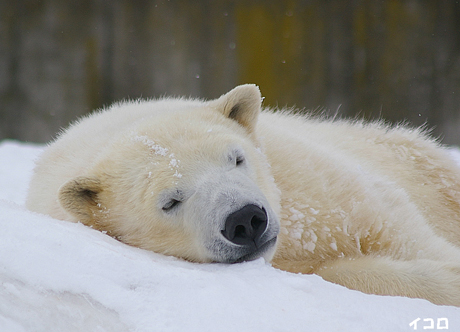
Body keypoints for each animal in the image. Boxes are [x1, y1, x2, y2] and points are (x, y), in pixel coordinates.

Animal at [27, 83, 460, 306]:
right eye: (170, 201)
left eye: (236, 158)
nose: (246, 219)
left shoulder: (318, 185)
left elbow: (399, 234)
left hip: (412, 160)